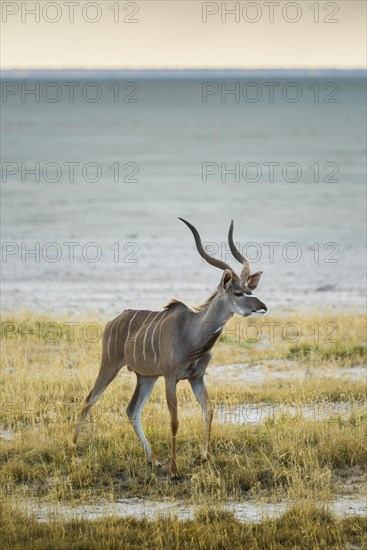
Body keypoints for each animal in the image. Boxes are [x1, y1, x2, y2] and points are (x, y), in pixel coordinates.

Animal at [73, 220, 268, 478]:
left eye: (250, 290)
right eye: (238, 292)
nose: (263, 306)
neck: (192, 333)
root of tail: (113, 321)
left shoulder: (196, 377)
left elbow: (208, 410)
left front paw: (203, 458)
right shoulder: (170, 378)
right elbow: (174, 420)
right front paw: (175, 470)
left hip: (146, 377)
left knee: (132, 410)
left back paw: (153, 460)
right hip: (110, 365)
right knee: (89, 400)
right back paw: (72, 450)